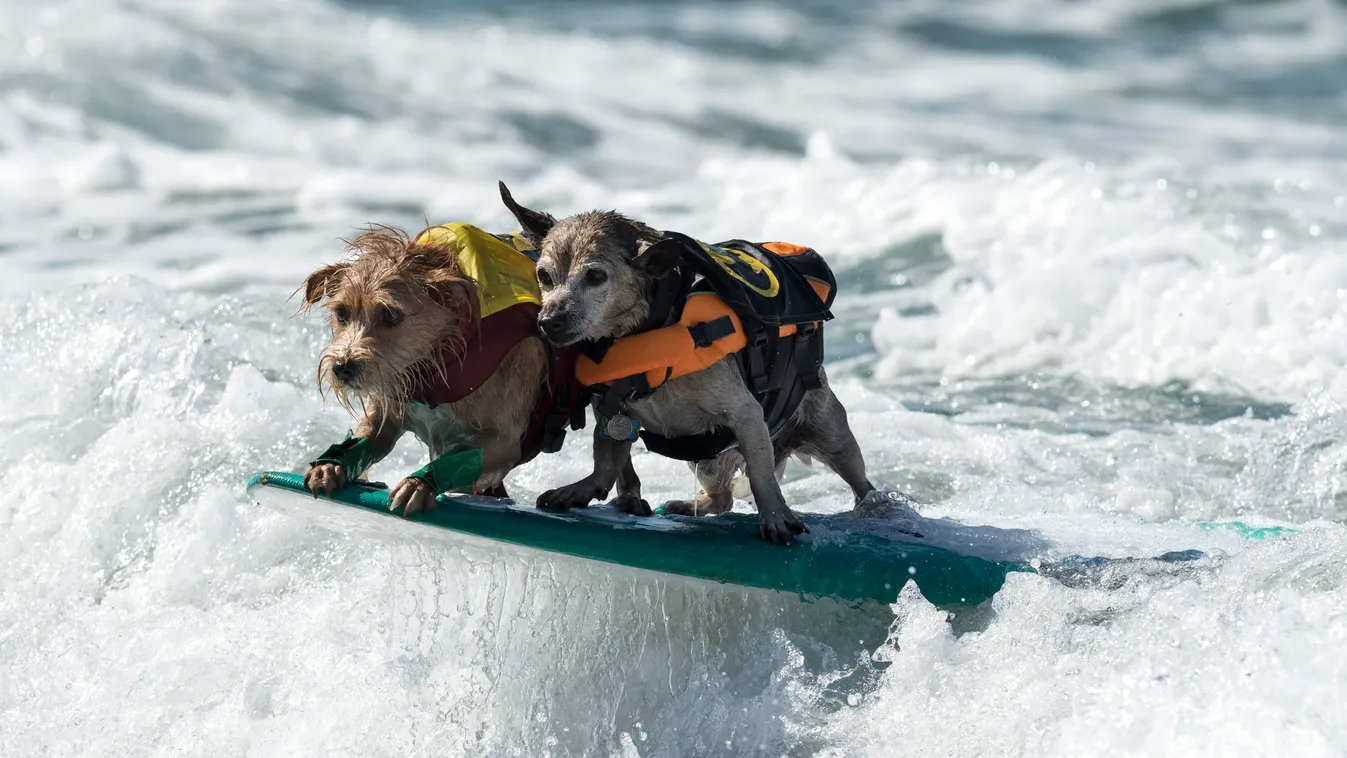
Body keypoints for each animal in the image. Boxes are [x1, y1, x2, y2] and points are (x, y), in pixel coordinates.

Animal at [297, 227, 549, 517]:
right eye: (341, 312)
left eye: (390, 315)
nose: (343, 367)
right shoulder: (390, 407)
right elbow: (367, 434)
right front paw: (331, 464)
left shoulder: (505, 442)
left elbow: (461, 458)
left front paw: (417, 484)